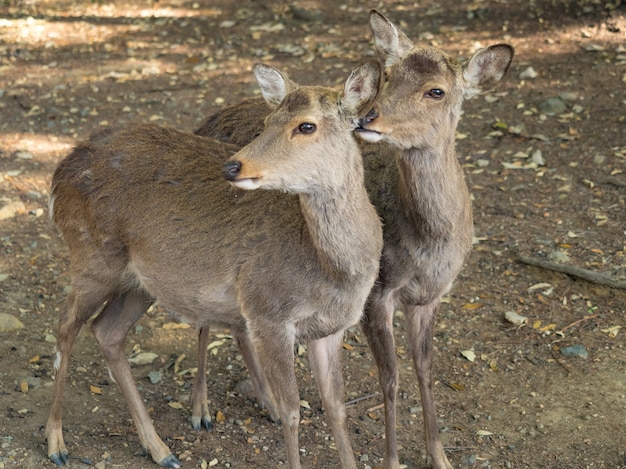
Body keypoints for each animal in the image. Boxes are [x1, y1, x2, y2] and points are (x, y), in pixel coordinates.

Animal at [44, 61, 382, 468]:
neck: (336, 272)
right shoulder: (268, 313)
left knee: (107, 331)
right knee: (65, 327)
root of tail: (59, 174)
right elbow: (292, 411)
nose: (233, 166)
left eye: (306, 126)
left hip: (142, 282)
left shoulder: (330, 329)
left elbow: (336, 407)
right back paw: (57, 443)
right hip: (92, 256)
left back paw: (159, 448)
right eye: (267, 120)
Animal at [194, 11, 512, 468]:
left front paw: (439, 456)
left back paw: (268, 403)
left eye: (436, 90)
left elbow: (425, 370)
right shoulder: (377, 292)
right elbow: (390, 376)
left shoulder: (431, 296)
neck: (429, 243)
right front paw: (393, 459)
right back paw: (201, 410)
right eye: (389, 76)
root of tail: (206, 119)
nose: (369, 118)